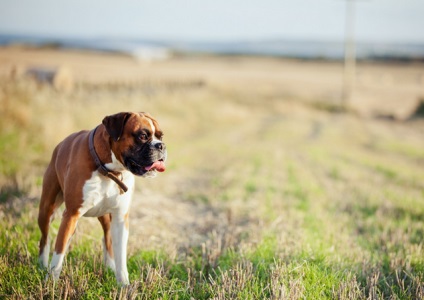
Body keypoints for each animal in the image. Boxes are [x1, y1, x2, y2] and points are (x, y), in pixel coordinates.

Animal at [38, 112, 166, 284]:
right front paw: (50, 283)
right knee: (45, 239)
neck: (109, 171)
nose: (161, 145)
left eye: (161, 136)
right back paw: (42, 265)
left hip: (106, 217)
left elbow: (121, 256)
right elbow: (58, 253)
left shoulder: (120, 219)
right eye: (143, 136)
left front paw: (124, 285)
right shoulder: (71, 214)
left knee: (107, 239)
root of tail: (59, 146)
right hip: (47, 210)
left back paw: (109, 267)